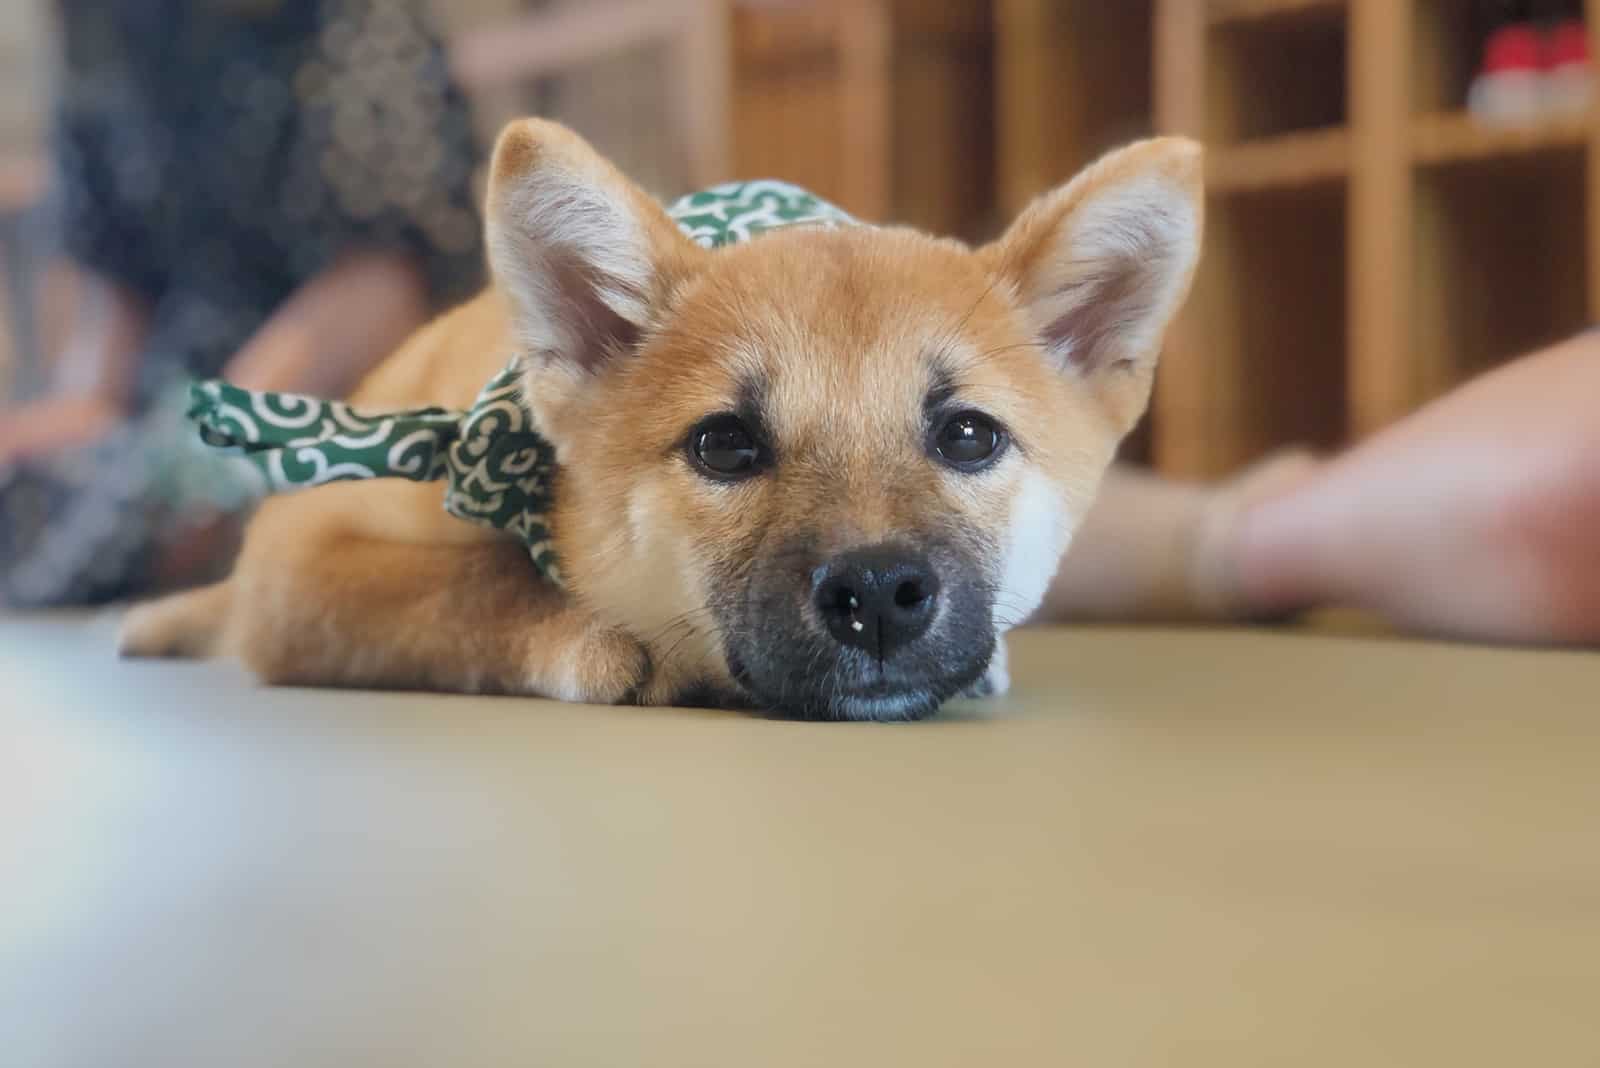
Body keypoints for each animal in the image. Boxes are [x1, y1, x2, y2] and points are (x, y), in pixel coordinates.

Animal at [121, 116, 1203, 722]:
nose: (877, 592)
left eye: (968, 436)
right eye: (723, 445)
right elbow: (469, 586)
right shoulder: (301, 559)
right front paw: (606, 641)